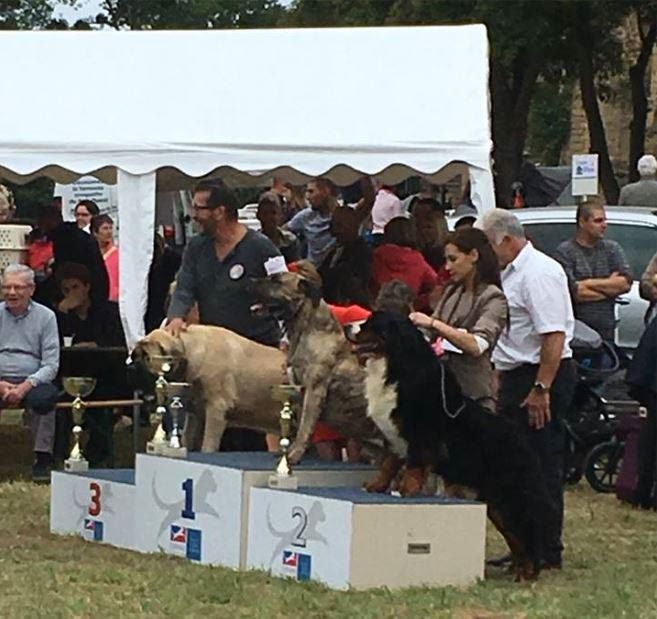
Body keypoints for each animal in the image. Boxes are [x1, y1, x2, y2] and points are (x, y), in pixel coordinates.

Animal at [132, 324, 286, 450]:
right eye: (137, 355)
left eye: (147, 357)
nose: (131, 365)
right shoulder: (195, 414)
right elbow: (187, 438)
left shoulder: (216, 410)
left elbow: (208, 446)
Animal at [354, 312, 552, 584]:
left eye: (372, 324)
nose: (348, 328)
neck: (396, 368)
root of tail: (526, 444)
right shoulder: (394, 435)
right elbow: (388, 464)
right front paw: (376, 486)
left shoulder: (421, 435)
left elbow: (414, 465)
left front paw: (406, 490)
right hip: (497, 506)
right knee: (517, 539)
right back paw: (519, 571)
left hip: (511, 497)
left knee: (528, 533)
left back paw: (527, 575)